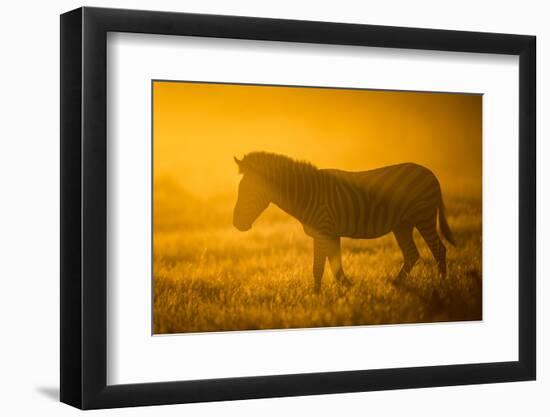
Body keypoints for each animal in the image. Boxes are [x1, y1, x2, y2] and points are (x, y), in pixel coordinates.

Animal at [233, 151, 458, 290]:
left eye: (248, 192)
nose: (236, 224)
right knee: (412, 254)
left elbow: (319, 268)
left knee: (439, 249)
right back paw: (396, 284)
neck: (308, 194)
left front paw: (316, 297)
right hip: (403, 224)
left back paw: (442, 285)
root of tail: (430, 173)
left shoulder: (323, 230)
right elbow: (336, 268)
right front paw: (348, 290)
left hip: (423, 216)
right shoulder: (331, 233)